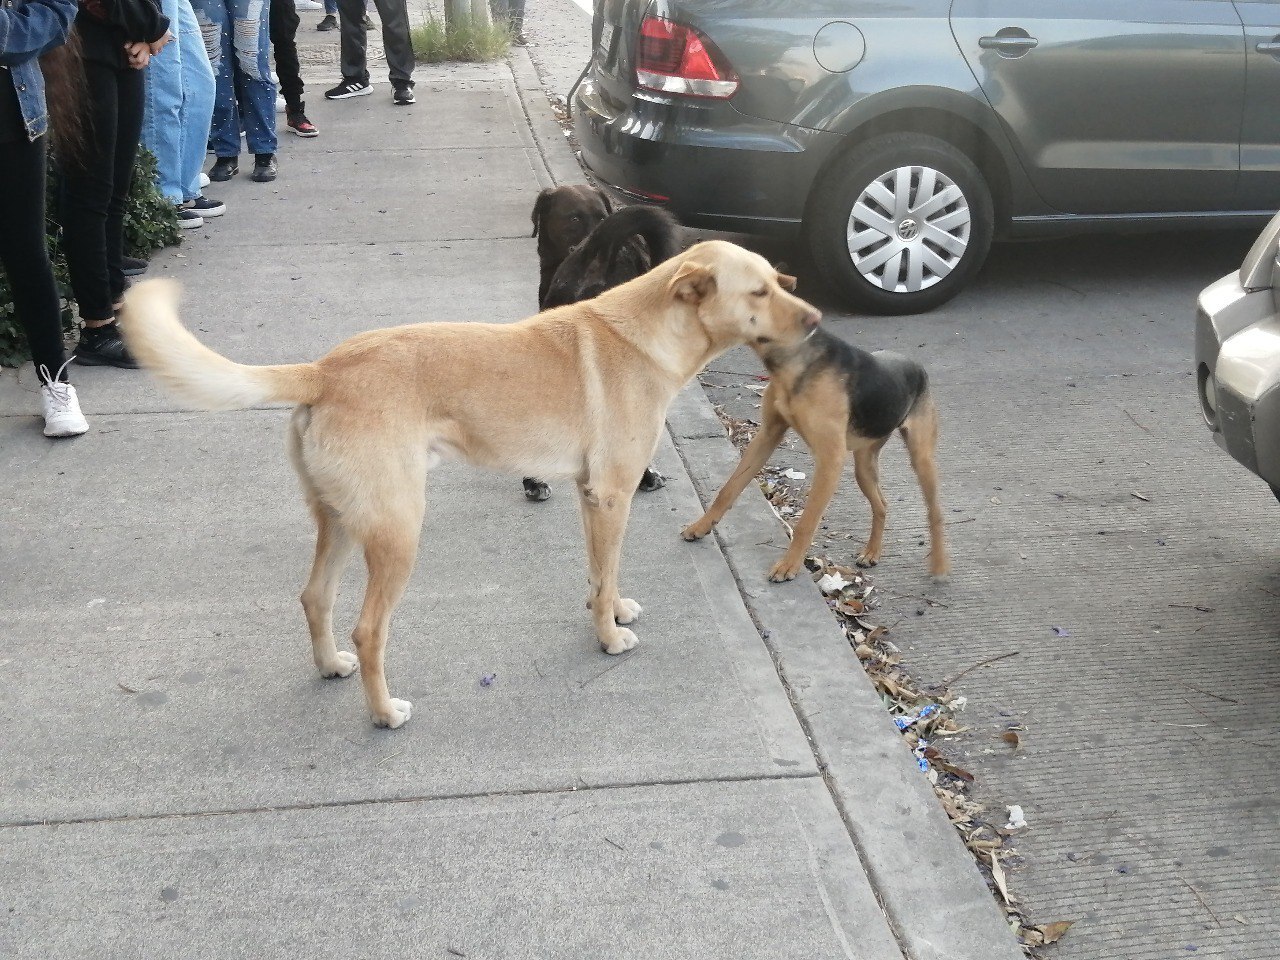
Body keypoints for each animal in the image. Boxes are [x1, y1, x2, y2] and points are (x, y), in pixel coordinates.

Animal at [120, 240, 819, 727]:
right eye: (759, 291)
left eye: (778, 282)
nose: (816, 319)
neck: (650, 335)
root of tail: (326, 369)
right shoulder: (612, 495)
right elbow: (605, 576)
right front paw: (609, 637)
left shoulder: (591, 497)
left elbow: (602, 573)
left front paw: (612, 608)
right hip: (397, 532)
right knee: (368, 631)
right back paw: (384, 714)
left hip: (341, 520)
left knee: (314, 598)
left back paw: (330, 667)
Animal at [680, 330, 952, 583]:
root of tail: (916, 364)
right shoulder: (767, 435)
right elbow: (728, 489)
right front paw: (700, 527)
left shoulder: (829, 459)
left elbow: (806, 522)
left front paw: (789, 565)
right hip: (864, 464)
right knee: (882, 505)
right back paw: (872, 553)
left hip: (921, 459)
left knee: (935, 512)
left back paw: (939, 565)